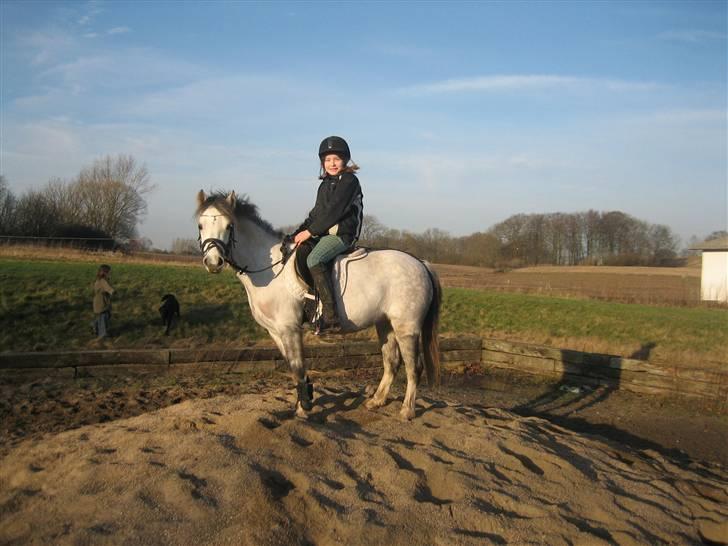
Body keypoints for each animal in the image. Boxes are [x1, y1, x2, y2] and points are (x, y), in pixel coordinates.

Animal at [196, 189, 440, 418]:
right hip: (385, 324)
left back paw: (407, 410)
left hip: (406, 328)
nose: (213, 262)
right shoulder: (275, 331)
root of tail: (421, 263)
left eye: (229, 226)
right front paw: (302, 402)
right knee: (391, 362)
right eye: (200, 225)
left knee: (414, 367)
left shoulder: (290, 328)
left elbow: (297, 367)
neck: (269, 269)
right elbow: (293, 368)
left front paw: (304, 408)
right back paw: (376, 401)